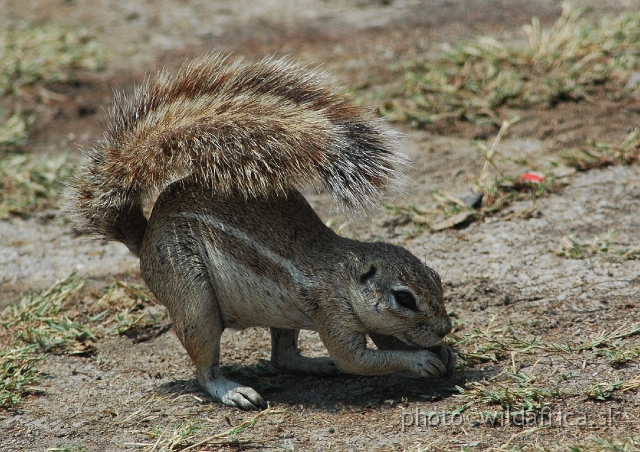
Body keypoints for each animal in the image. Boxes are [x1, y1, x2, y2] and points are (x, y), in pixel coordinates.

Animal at [70, 53, 456, 410]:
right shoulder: (332, 313)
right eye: (404, 298)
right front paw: (420, 360)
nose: (445, 328)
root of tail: (145, 237)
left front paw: (444, 353)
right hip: (192, 300)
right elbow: (358, 361)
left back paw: (318, 365)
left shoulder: (371, 321)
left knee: (283, 357)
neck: (343, 274)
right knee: (206, 369)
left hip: (280, 313)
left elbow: (387, 341)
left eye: (437, 277)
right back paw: (233, 391)